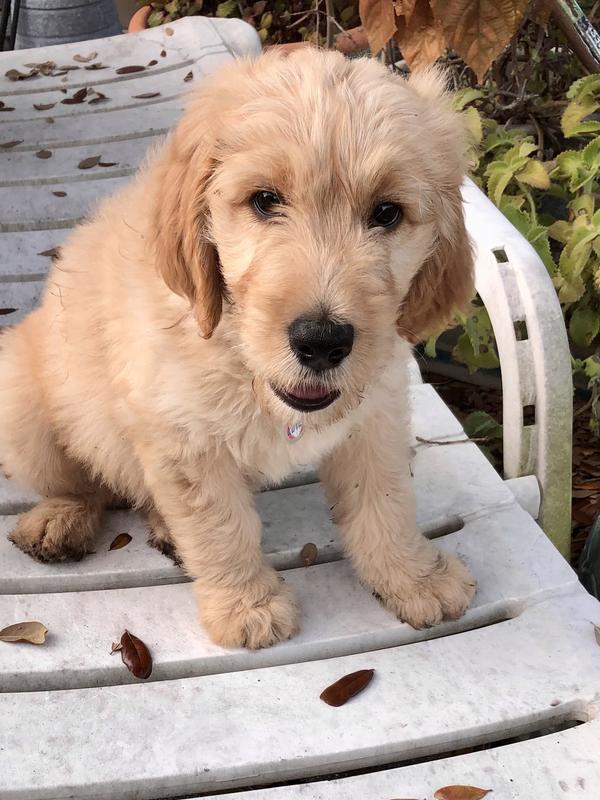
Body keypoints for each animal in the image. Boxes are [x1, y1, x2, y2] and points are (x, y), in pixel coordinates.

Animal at [1, 48, 478, 648]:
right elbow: (221, 526)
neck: (238, 356)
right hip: (24, 407)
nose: (321, 342)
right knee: (87, 484)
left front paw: (414, 577)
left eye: (388, 213)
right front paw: (247, 606)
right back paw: (61, 520)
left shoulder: (376, 410)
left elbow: (384, 501)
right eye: (265, 201)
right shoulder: (184, 438)